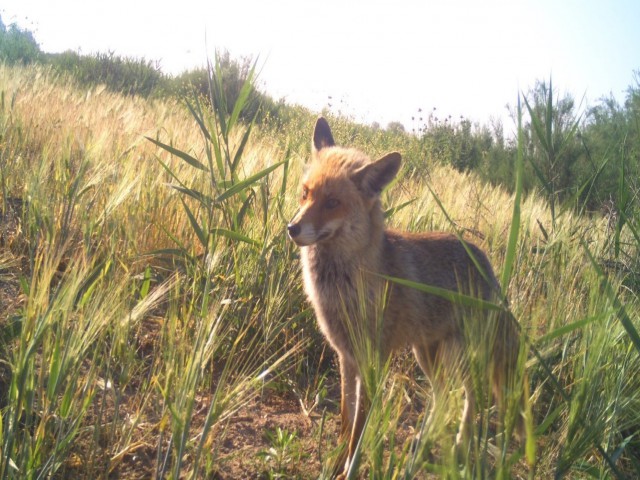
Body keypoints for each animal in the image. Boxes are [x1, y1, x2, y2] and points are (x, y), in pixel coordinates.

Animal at [288, 116, 524, 476]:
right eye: (305, 194)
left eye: (332, 203)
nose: (292, 228)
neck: (346, 288)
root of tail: (486, 264)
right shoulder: (346, 358)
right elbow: (345, 419)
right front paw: (335, 464)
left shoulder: (374, 361)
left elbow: (359, 429)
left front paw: (350, 469)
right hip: (425, 353)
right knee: (443, 395)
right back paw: (425, 440)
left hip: (459, 355)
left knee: (471, 396)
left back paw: (459, 442)